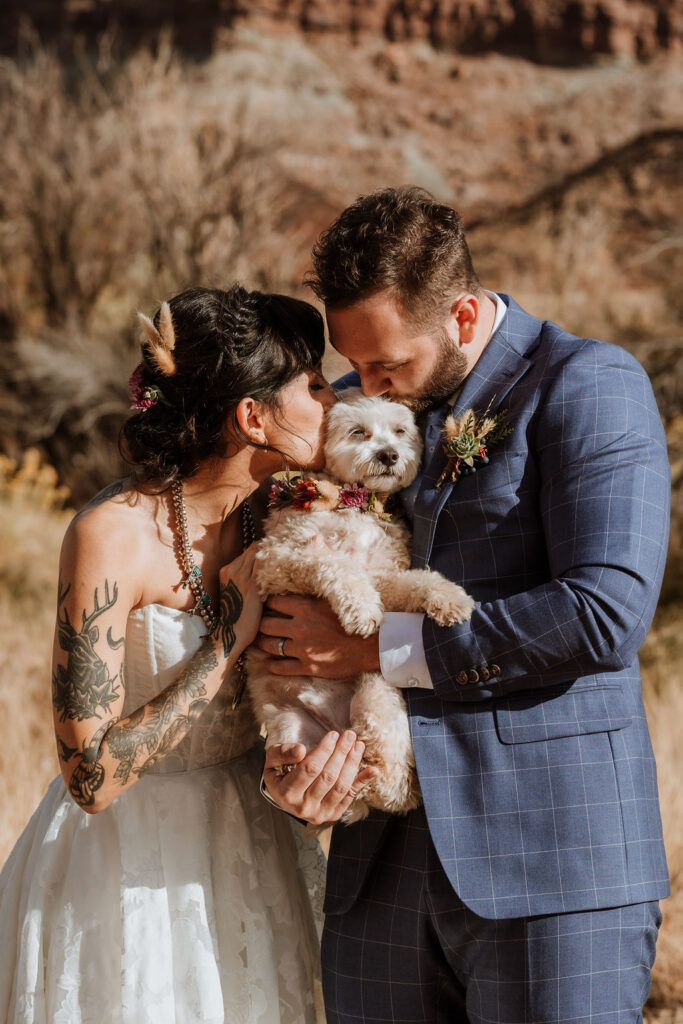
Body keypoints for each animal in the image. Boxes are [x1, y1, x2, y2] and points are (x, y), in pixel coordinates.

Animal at [246, 391, 475, 823]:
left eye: (400, 431)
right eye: (358, 432)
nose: (389, 454)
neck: (355, 506)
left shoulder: (385, 576)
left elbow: (416, 581)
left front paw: (449, 598)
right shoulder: (277, 560)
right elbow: (335, 565)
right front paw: (361, 609)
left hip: (377, 692)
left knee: (388, 781)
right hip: (290, 729)